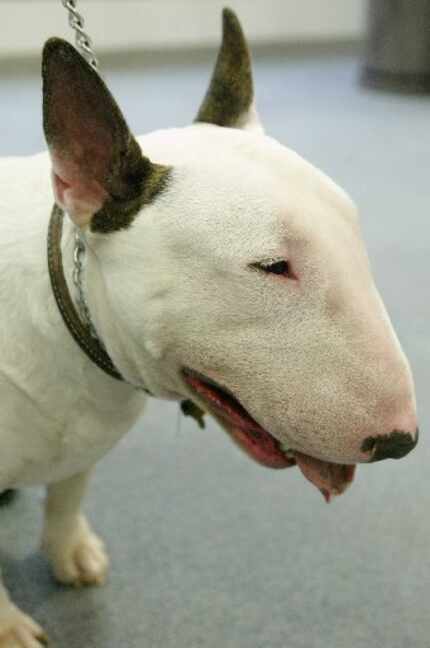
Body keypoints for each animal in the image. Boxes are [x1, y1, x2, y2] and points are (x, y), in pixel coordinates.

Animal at [0, 10, 416, 648]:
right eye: (272, 266)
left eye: (353, 233)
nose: (401, 442)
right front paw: (8, 625)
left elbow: (70, 487)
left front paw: (68, 549)